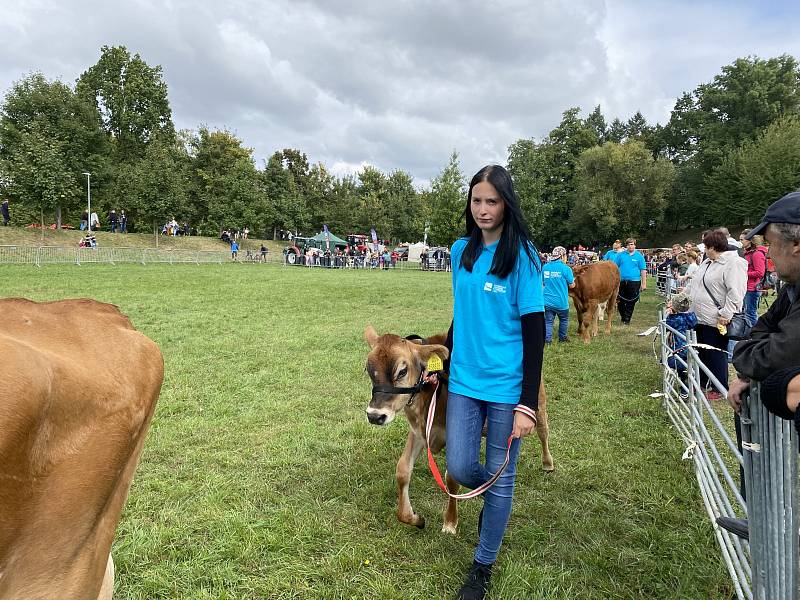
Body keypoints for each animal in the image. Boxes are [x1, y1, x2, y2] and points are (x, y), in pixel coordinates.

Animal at [362, 328, 552, 536]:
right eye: (368, 370)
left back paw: (547, 463)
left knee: (543, 432)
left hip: (538, 404)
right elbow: (403, 469)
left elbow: (452, 479)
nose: (375, 415)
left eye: (402, 371)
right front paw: (414, 518)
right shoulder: (419, 432)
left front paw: (450, 522)